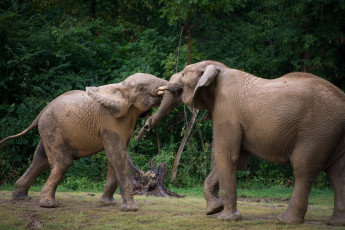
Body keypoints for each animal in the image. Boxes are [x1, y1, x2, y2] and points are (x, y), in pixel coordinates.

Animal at [0, 73, 167, 211]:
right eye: (141, 88)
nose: (146, 128)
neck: (120, 87)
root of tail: (41, 112)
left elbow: (115, 159)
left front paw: (107, 203)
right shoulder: (109, 123)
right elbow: (118, 157)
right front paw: (131, 209)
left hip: (49, 130)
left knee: (40, 160)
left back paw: (20, 197)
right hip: (52, 128)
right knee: (62, 162)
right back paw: (48, 205)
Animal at [138, 60, 344, 226]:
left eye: (182, 74)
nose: (144, 129)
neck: (218, 69)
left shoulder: (226, 112)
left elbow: (226, 156)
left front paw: (226, 218)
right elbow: (239, 161)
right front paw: (213, 209)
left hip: (317, 130)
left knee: (304, 167)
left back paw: (285, 221)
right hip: (331, 133)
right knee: (336, 172)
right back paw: (335, 223)